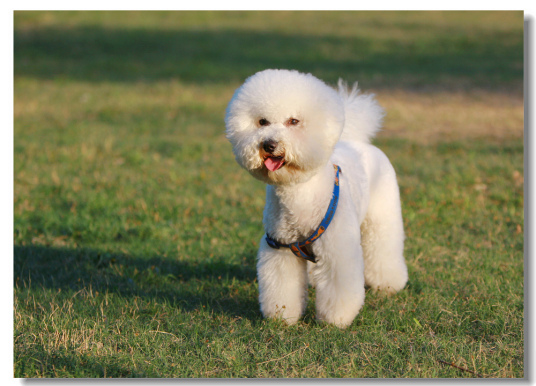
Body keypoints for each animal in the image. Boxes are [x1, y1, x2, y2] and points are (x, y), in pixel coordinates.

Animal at [224, 68, 408, 326]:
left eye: (293, 121)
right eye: (262, 122)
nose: (269, 144)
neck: (298, 192)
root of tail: (358, 141)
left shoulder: (339, 249)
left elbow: (339, 287)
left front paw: (335, 319)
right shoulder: (280, 248)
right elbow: (283, 286)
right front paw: (283, 316)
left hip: (382, 217)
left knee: (383, 248)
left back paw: (388, 284)